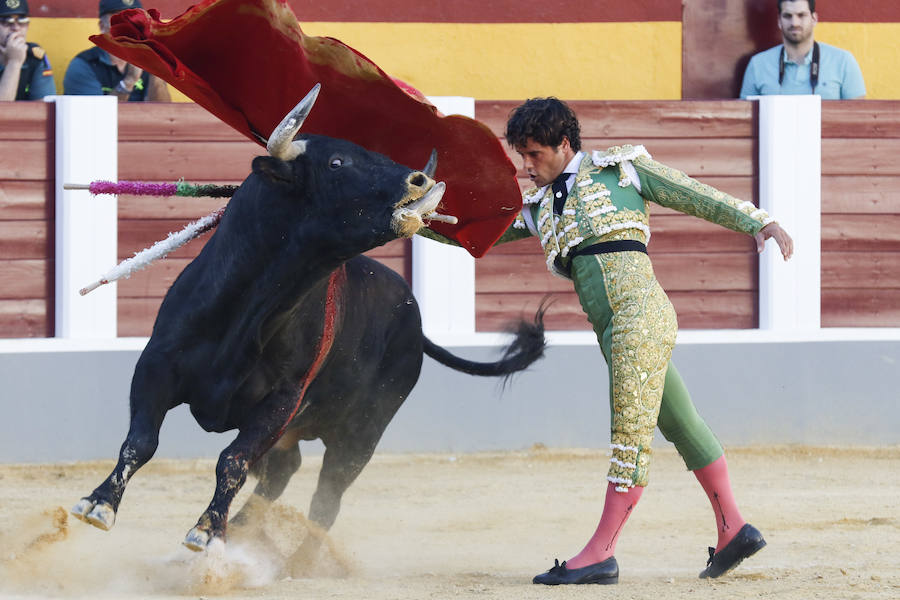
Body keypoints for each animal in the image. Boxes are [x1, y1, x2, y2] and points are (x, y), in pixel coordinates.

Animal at [70, 131, 544, 564]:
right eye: (336, 162)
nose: (420, 181)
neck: (249, 311)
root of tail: (415, 318)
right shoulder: (156, 367)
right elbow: (140, 441)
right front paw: (99, 504)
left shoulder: (283, 399)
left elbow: (233, 459)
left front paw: (206, 533)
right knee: (284, 470)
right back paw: (244, 533)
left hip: (361, 436)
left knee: (325, 499)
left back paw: (292, 562)